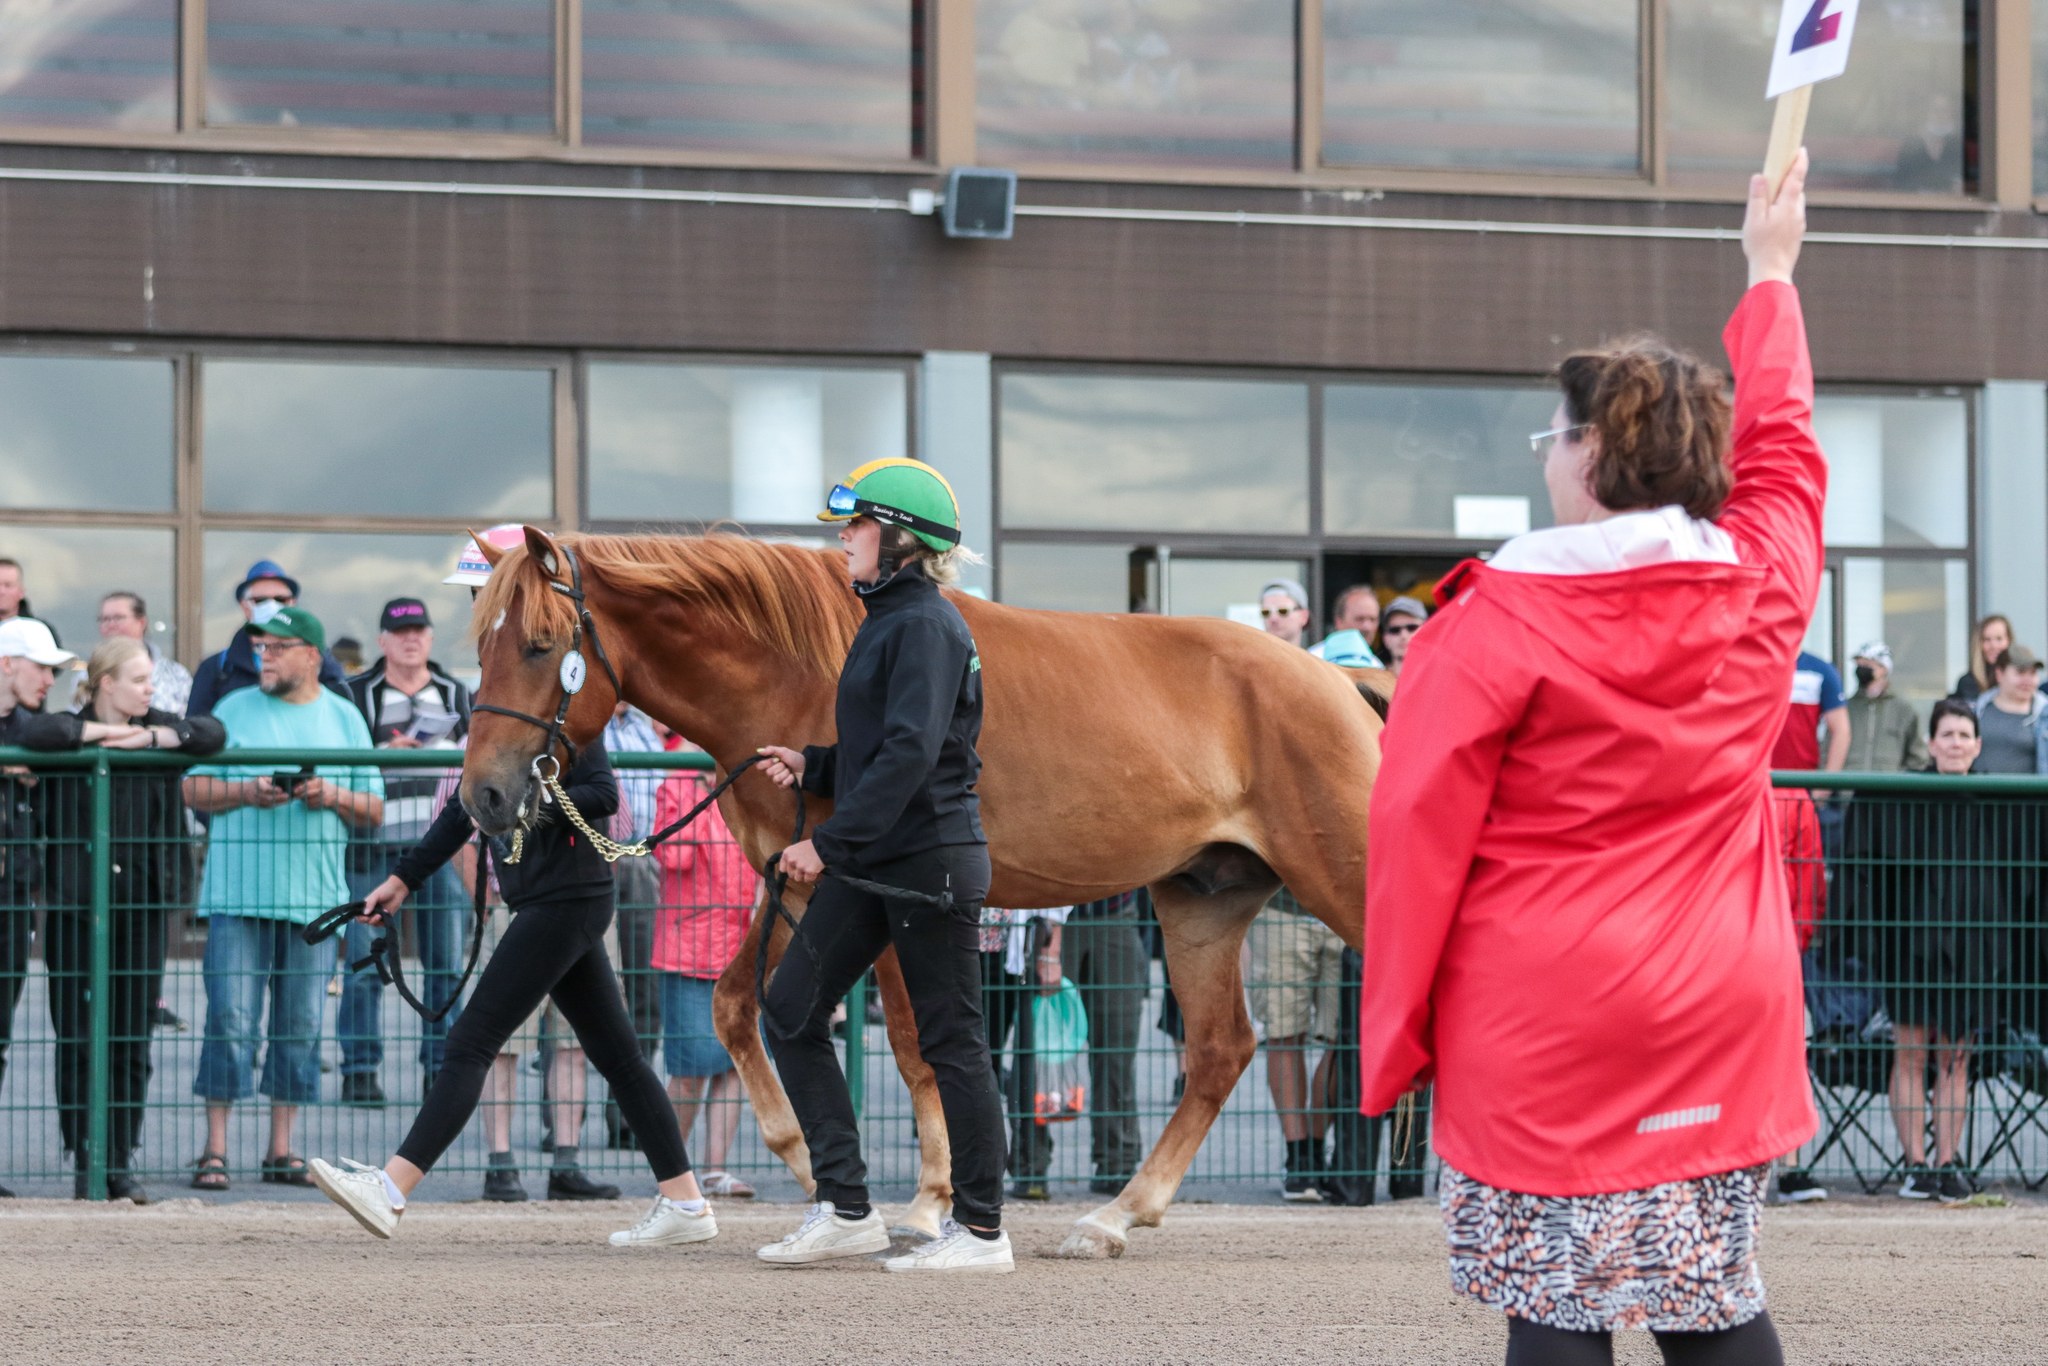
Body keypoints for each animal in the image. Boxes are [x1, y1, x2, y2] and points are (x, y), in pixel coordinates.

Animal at [460, 532, 1392, 1261]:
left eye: (541, 642)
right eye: (481, 645)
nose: (484, 798)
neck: (800, 668)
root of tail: (1341, 682)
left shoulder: (853, 887)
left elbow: (910, 1045)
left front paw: (913, 1200)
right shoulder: (796, 877)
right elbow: (736, 1006)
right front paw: (818, 1167)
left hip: (1339, 877)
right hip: (1204, 899)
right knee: (1221, 1049)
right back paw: (1115, 1217)